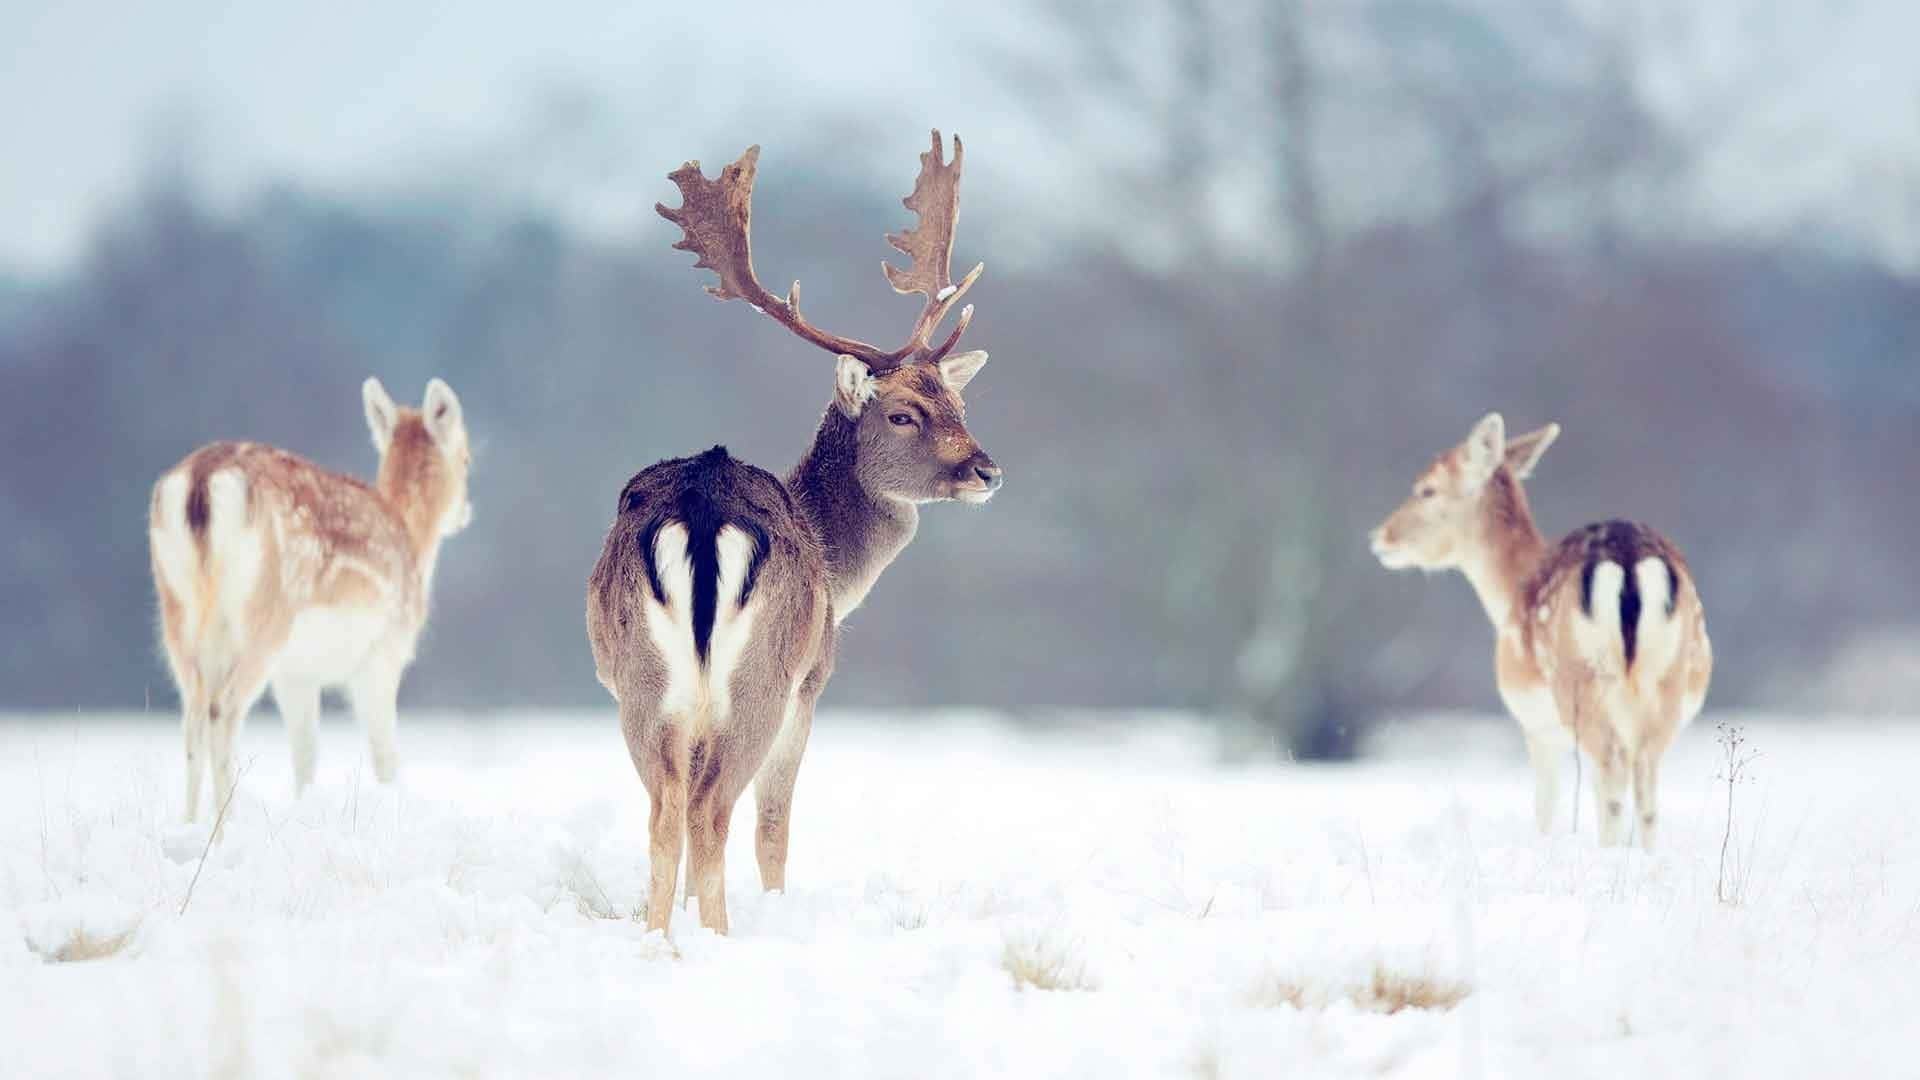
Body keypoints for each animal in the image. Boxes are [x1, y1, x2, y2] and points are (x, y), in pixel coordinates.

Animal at [149, 378, 473, 831]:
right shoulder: (383, 653)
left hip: (178, 611)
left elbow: (305, 755)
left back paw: (190, 826)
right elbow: (385, 755)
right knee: (222, 709)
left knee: (192, 717)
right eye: (466, 458)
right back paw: (224, 827)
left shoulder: (297, 674)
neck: (413, 542)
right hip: (264, 617)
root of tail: (200, 481)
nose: (466, 511)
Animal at [586, 131, 1002, 936]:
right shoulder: (813, 684)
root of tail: (703, 507)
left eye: (958, 402)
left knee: (666, 814)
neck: (837, 565)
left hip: (640, 684)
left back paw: (661, 941)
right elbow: (774, 827)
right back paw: (720, 938)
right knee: (714, 812)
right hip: (762, 680)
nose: (987, 469)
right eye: (902, 413)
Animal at [1368, 413, 1712, 850]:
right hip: (1667, 680)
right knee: (1645, 785)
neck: (1509, 591)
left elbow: (1545, 806)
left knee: (1613, 777)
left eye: (1427, 488)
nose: (1380, 537)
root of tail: (1628, 560)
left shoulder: (1536, 726)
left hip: (1580, 685)